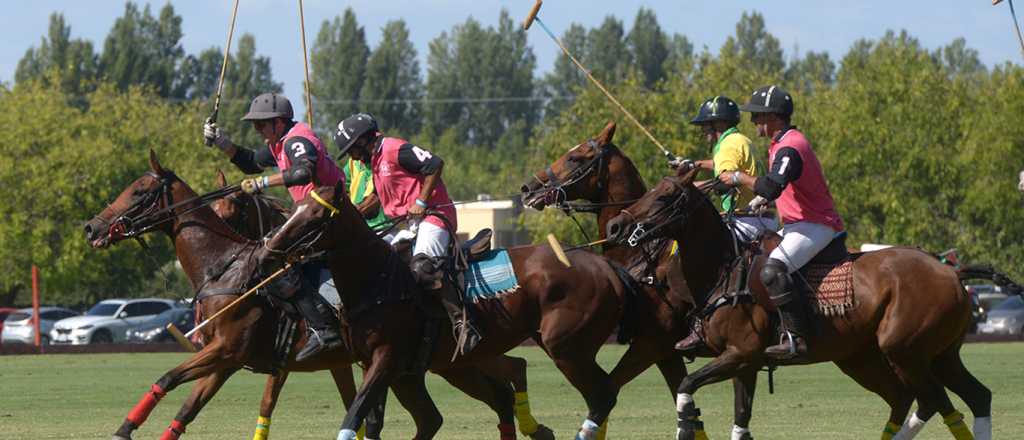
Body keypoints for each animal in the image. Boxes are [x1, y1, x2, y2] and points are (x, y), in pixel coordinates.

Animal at [86, 151, 552, 440]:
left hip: (448, 360)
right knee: (490, 392)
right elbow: (187, 407)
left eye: (138, 190)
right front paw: (128, 428)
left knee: (505, 380)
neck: (226, 267)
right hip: (436, 366)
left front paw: (124, 429)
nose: (92, 227)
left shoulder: (229, 350)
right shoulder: (230, 359)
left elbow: (169, 378)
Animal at [262, 183, 647, 440]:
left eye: (315, 216)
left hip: (566, 347)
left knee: (603, 395)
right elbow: (375, 419)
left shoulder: (387, 358)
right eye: (294, 209)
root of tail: (606, 266)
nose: (270, 248)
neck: (379, 280)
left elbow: (355, 414)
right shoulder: (380, 365)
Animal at [520, 121, 761, 440]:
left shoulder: (652, 343)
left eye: (575, 158)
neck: (641, 254)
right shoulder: (666, 352)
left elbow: (609, 390)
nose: (527, 188)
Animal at [606, 170, 991, 440]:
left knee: (930, 400)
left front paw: (686, 426)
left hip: (904, 350)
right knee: (965, 396)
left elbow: (686, 389)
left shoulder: (738, 353)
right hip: (902, 356)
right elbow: (739, 419)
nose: (616, 225)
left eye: (665, 196)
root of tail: (951, 271)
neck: (722, 268)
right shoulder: (743, 363)